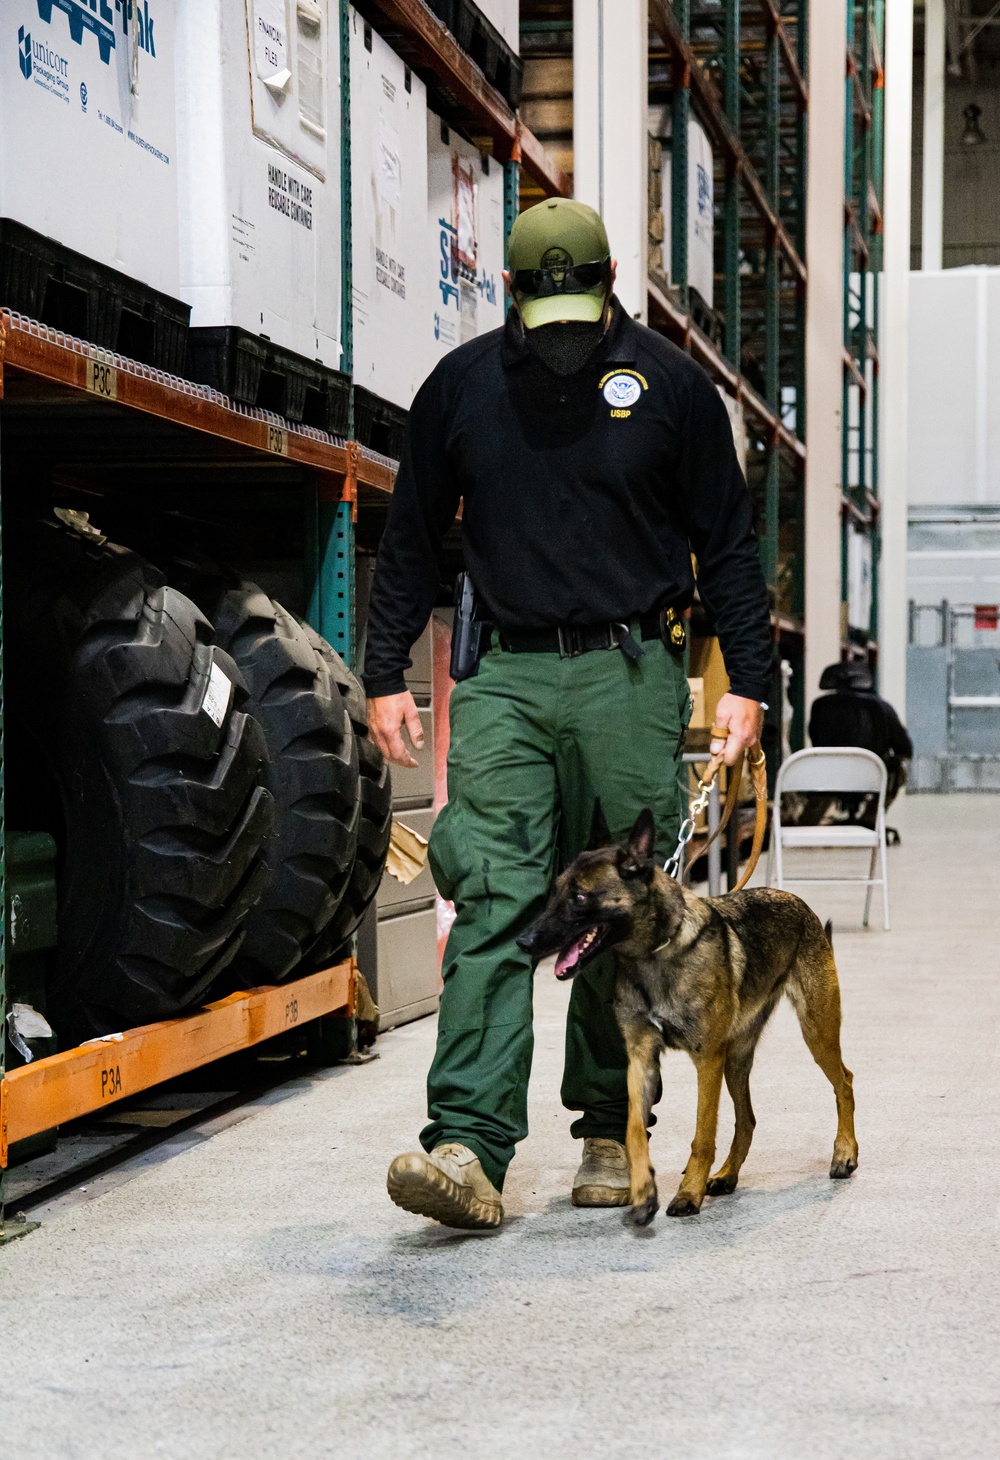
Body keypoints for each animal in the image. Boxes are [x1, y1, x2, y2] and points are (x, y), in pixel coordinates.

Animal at [513, 805, 858, 1226]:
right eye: (555, 894)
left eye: (579, 897)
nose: (523, 941)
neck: (655, 953)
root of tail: (796, 902)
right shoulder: (642, 1060)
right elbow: (633, 1129)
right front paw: (643, 1190)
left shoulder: (706, 1061)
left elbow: (702, 1134)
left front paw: (688, 1192)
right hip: (736, 1060)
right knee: (747, 1119)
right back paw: (726, 1175)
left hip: (815, 1032)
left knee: (844, 1083)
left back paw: (845, 1152)